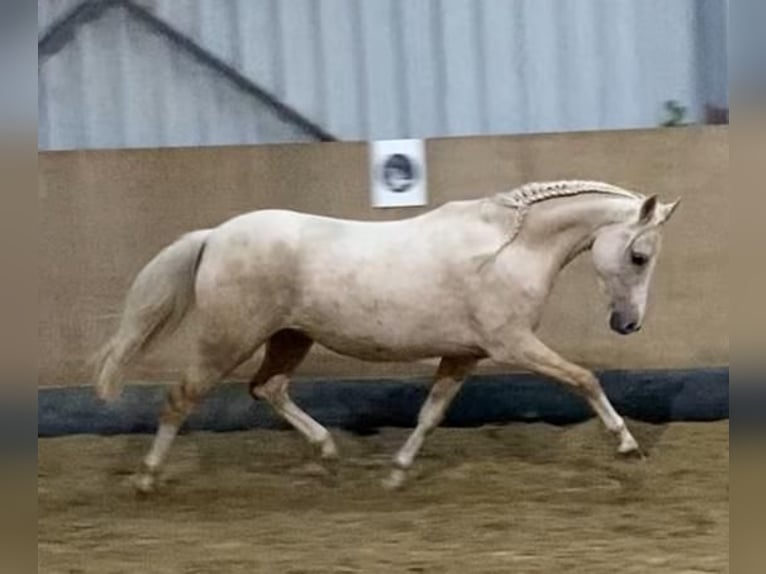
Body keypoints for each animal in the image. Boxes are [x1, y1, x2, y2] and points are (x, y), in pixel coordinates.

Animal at [93, 181, 680, 496]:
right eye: (639, 256)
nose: (628, 325)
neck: (509, 248)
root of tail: (214, 236)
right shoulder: (511, 344)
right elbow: (584, 378)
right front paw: (627, 445)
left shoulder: (463, 354)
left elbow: (431, 413)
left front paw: (396, 475)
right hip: (227, 339)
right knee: (181, 399)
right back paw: (145, 480)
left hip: (290, 337)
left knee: (268, 389)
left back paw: (328, 453)